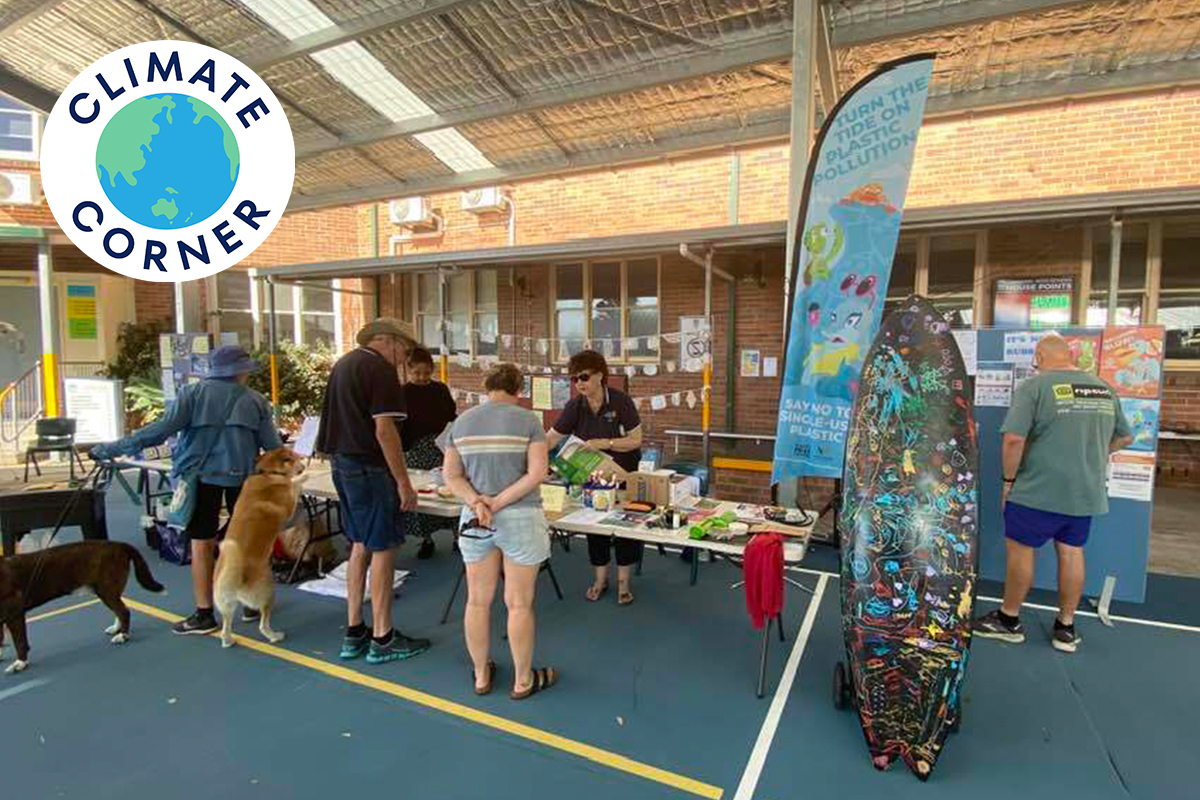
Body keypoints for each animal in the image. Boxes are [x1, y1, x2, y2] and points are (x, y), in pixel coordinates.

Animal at [216, 448, 309, 647]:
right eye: (292, 458)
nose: (304, 465)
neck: (267, 473)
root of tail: (237, 579)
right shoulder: (289, 504)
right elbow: (293, 484)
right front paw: (303, 477)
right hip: (267, 593)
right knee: (262, 625)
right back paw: (275, 636)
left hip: (226, 603)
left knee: (226, 624)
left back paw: (228, 640)